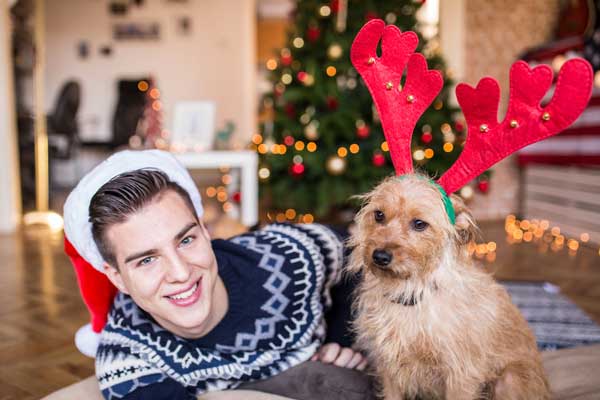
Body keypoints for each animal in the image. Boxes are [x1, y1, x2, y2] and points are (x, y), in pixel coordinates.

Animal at [350, 175, 552, 400]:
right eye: (379, 215)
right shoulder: (389, 368)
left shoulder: (461, 375)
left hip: (508, 380)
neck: (413, 292)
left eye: (419, 224)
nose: (380, 256)